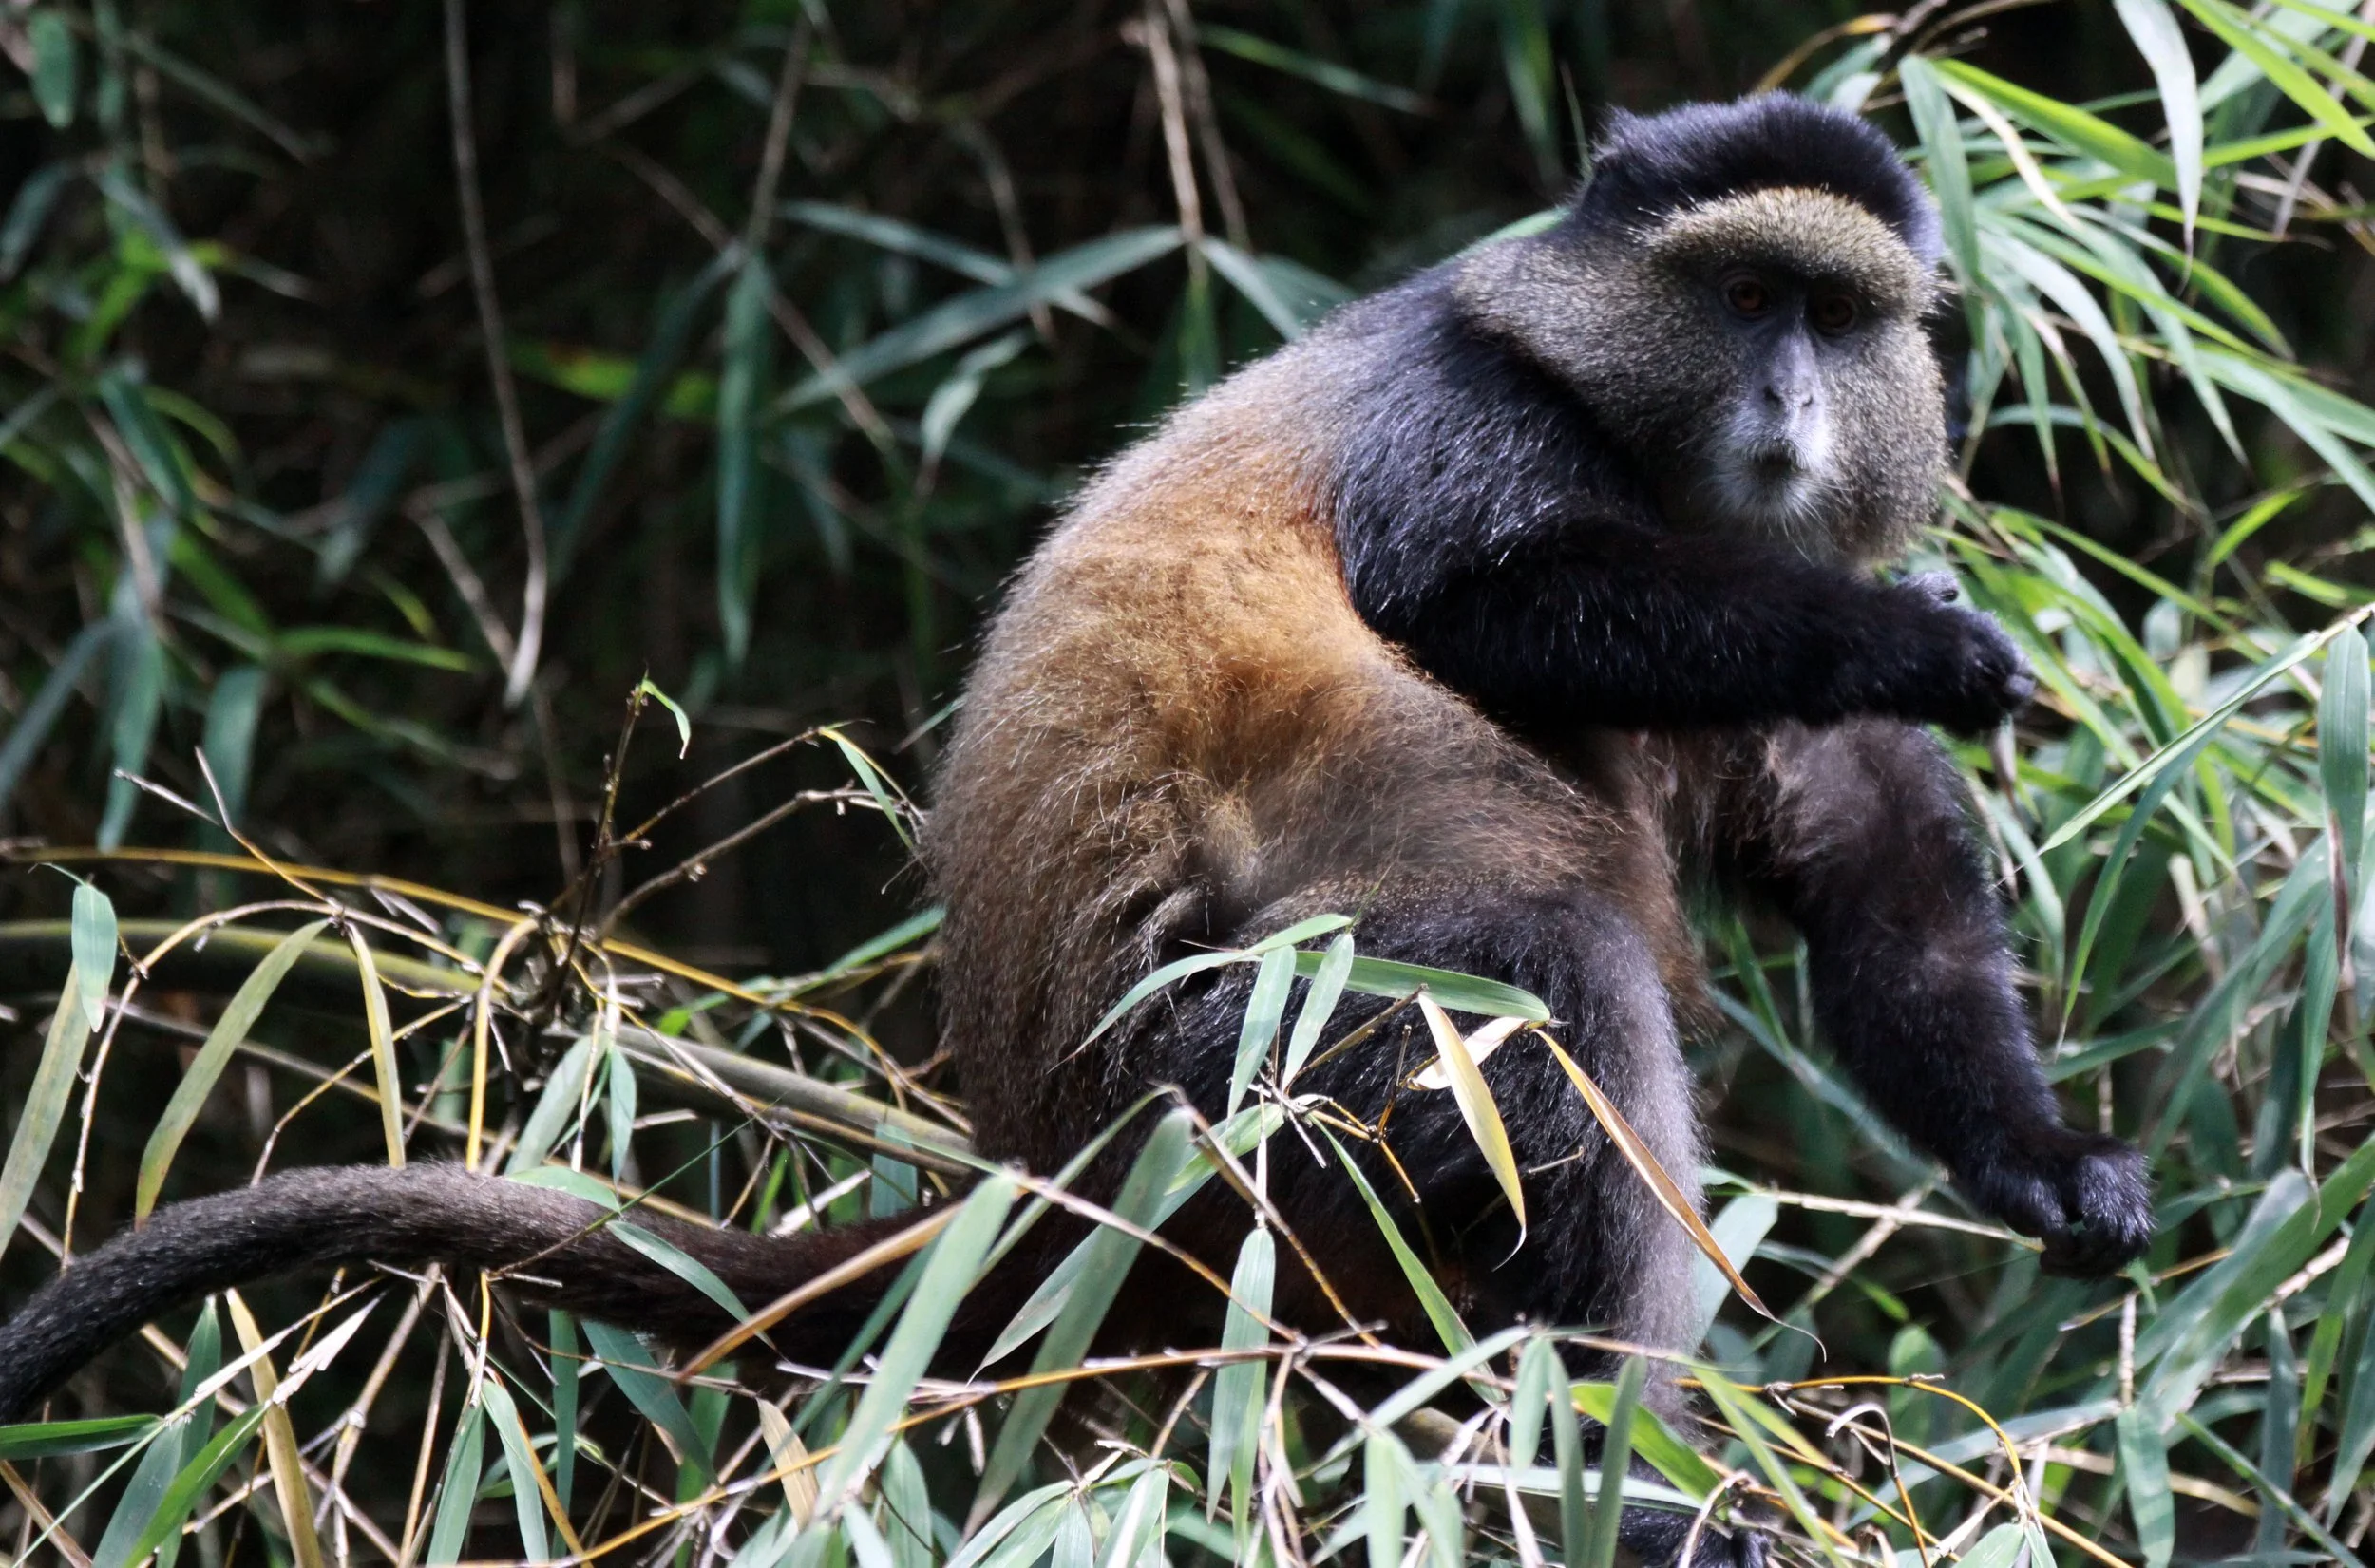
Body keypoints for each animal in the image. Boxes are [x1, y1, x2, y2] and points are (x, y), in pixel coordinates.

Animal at [0, 96, 2151, 1565]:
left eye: (1838, 317)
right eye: (1740, 295)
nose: (1791, 400)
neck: (1640, 429)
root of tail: (1046, 1154)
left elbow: (1869, 868)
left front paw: (2051, 1171)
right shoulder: (1468, 420)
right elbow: (1498, 602)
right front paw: (1923, 639)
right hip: (1235, 1057)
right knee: (1542, 988)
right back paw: (1592, 1473)